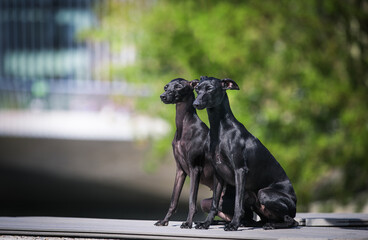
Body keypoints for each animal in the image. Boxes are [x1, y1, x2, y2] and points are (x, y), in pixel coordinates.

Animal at [154, 78, 214, 229]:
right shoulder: (180, 170)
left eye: (178, 87)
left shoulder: (195, 169)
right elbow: (173, 200)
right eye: (166, 87)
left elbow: (192, 200)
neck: (184, 126)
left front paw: (188, 222)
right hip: (207, 201)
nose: (163, 96)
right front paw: (164, 220)